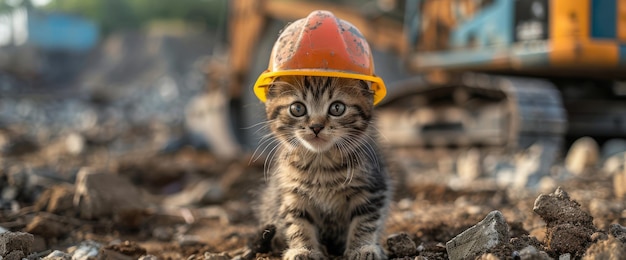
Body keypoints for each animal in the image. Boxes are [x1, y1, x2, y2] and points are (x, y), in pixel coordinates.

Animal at [255, 76, 390, 258]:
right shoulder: (292, 193)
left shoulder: (372, 187)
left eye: (337, 108)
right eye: (297, 108)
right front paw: (303, 250)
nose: (316, 127)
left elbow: (365, 221)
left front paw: (362, 248)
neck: (322, 163)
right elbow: (297, 223)